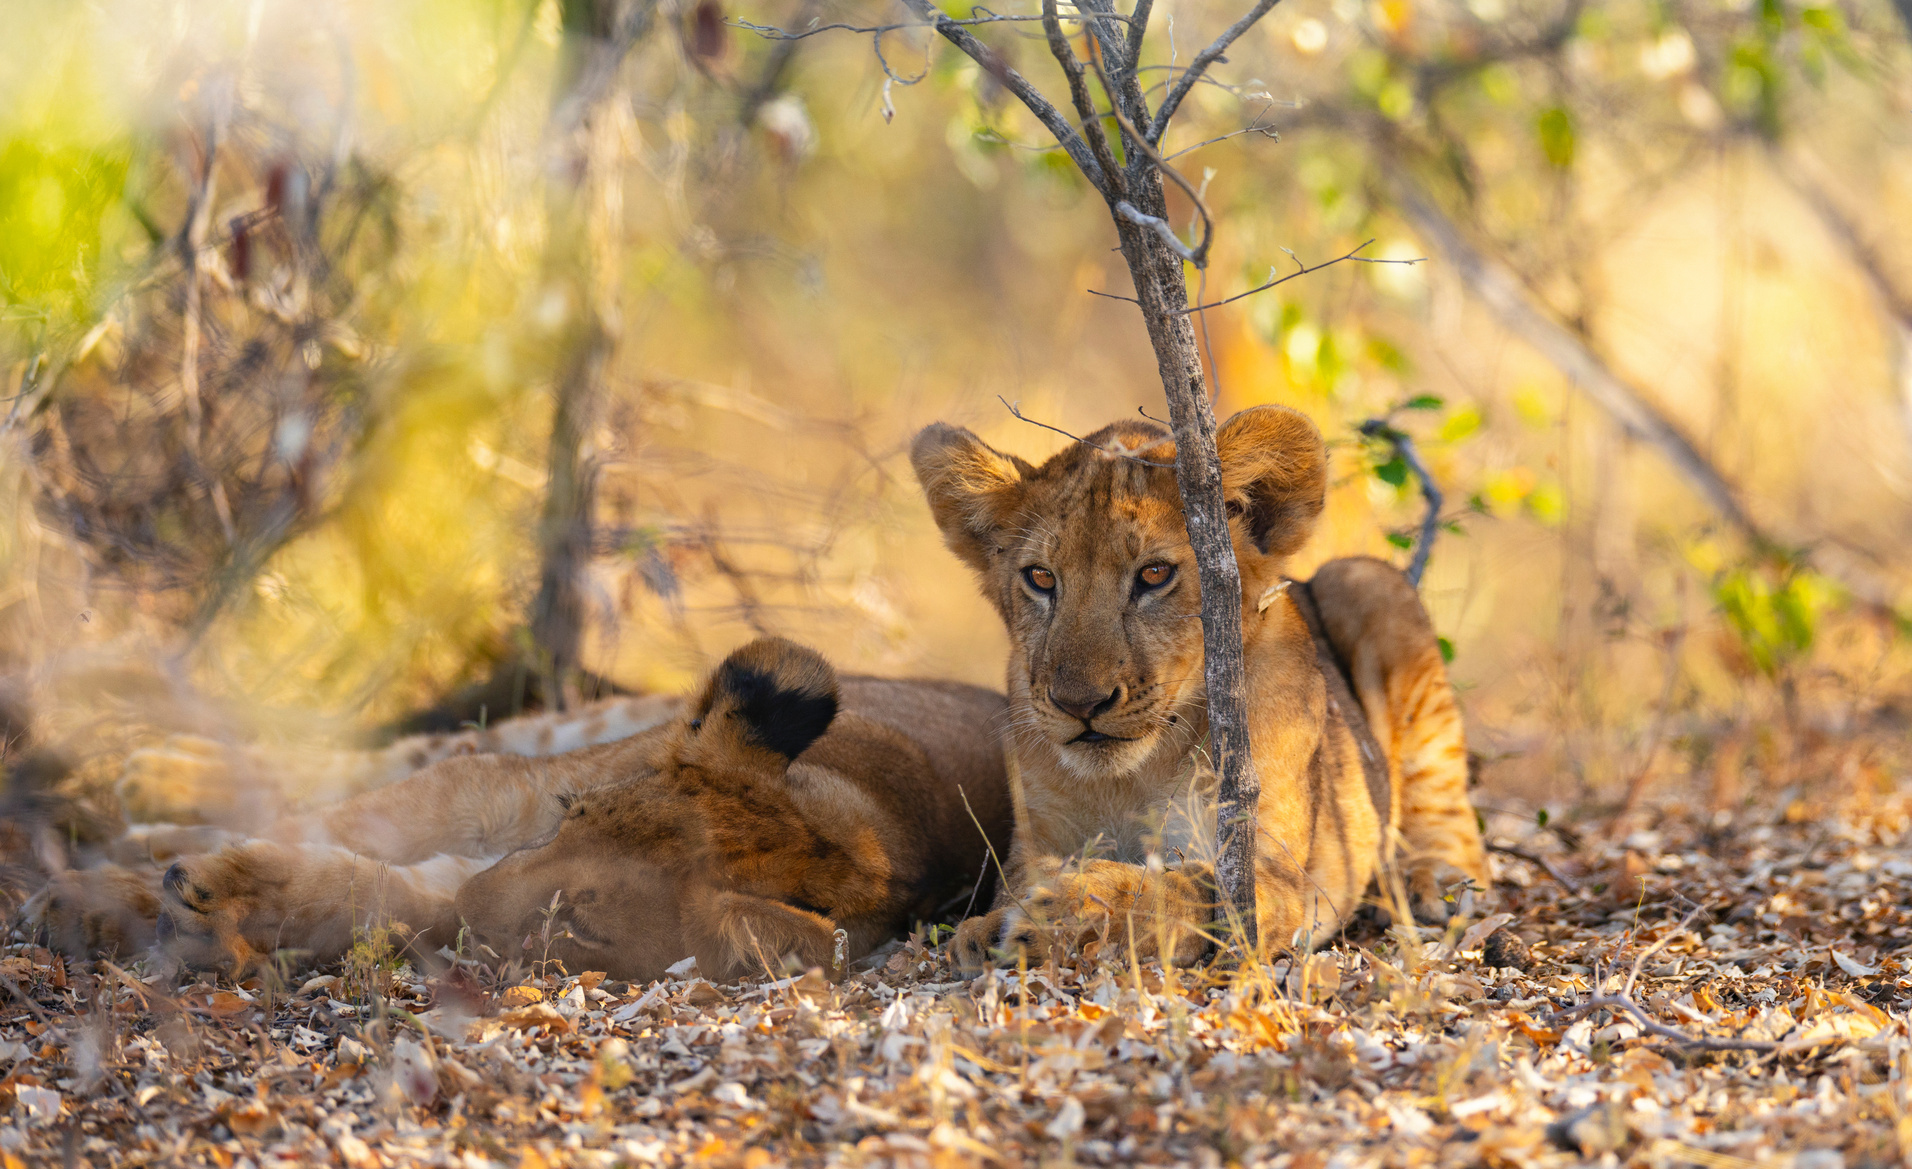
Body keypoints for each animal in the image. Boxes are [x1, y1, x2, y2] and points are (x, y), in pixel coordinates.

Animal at [30, 638, 1013, 982]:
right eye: (572, 814)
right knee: (350, 762)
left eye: (573, 926)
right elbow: (336, 826)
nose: (478, 888)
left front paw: (207, 906)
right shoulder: (500, 793)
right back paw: (139, 778)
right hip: (573, 724)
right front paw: (95, 897)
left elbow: (364, 887)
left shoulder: (459, 895)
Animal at [910, 405, 1489, 968]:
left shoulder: (1271, 876)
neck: (1129, 781)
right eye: (1041, 578)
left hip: (1367, 580)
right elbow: (1017, 887)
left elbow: (1180, 892)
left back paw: (1435, 884)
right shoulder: (1036, 839)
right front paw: (988, 928)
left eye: (1154, 574)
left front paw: (1065, 912)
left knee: (1450, 812)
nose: (1081, 704)